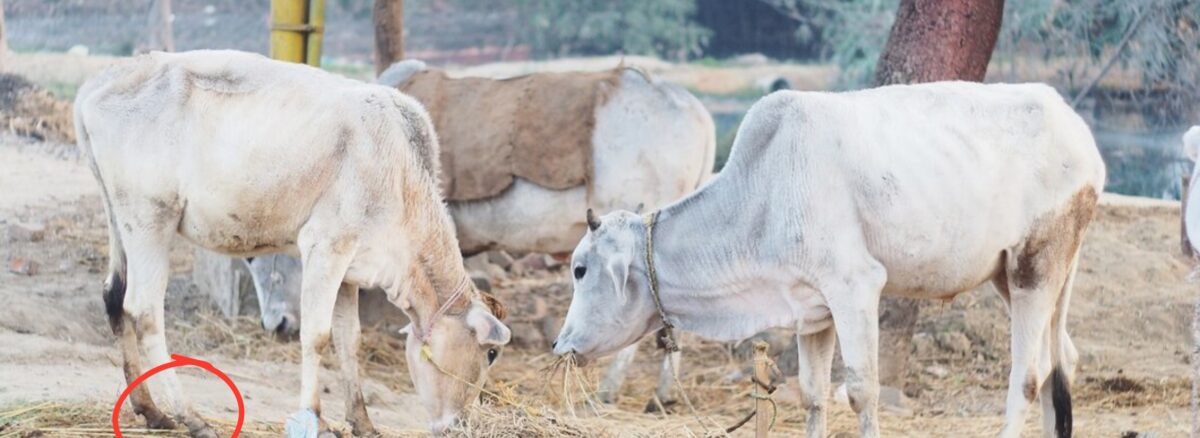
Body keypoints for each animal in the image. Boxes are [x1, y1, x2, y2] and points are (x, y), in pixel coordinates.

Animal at [74, 50, 510, 437]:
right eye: (490, 353)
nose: (458, 425)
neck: (401, 176)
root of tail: (96, 84)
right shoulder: (326, 246)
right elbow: (316, 336)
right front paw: (315, 417)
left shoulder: (350, 268)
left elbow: (348, 339)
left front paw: (363, 423)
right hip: (150, 218)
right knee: (144, 311)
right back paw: (191, 417)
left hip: (119, 218)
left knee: (114, 297)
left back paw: (150, 409)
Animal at [553, 82, 1106, 438]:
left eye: (580, 270)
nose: (561, 344)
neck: (762, 195)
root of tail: (1077, 131)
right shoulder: (811, 310)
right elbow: (813, 394)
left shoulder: (855, 287)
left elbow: (861, 391)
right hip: (1010, 276)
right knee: (1063, 360)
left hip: (1035, 267)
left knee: (1030, 377)